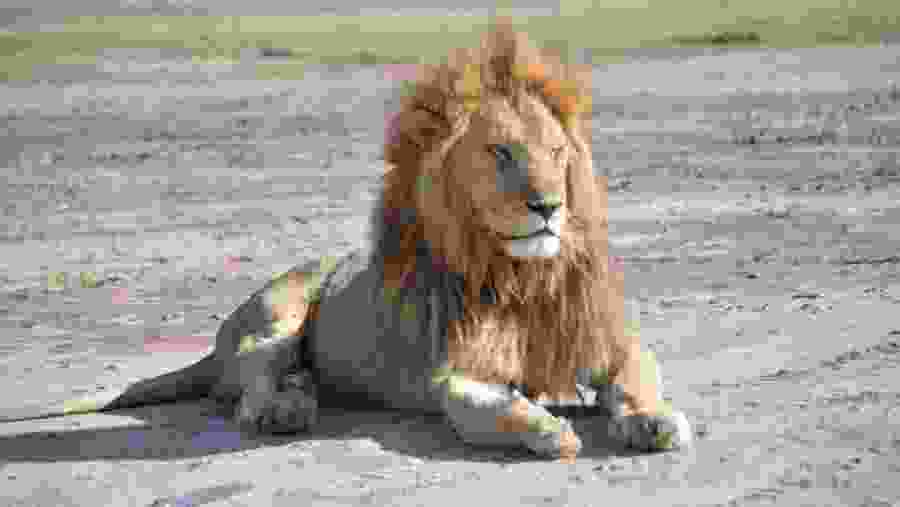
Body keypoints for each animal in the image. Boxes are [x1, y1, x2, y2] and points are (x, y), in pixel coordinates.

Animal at [1, 20, 691, 461]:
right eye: (501, 153)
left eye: (556, 154)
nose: (549, 206)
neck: (522, 277)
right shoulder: (453, 374)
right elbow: (491, 407)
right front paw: (548, 430)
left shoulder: (608, 341)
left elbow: (635, 380)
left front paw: (655, 421)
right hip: (278, 309)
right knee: (250, 385)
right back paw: (284, 409)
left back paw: (302, 391)